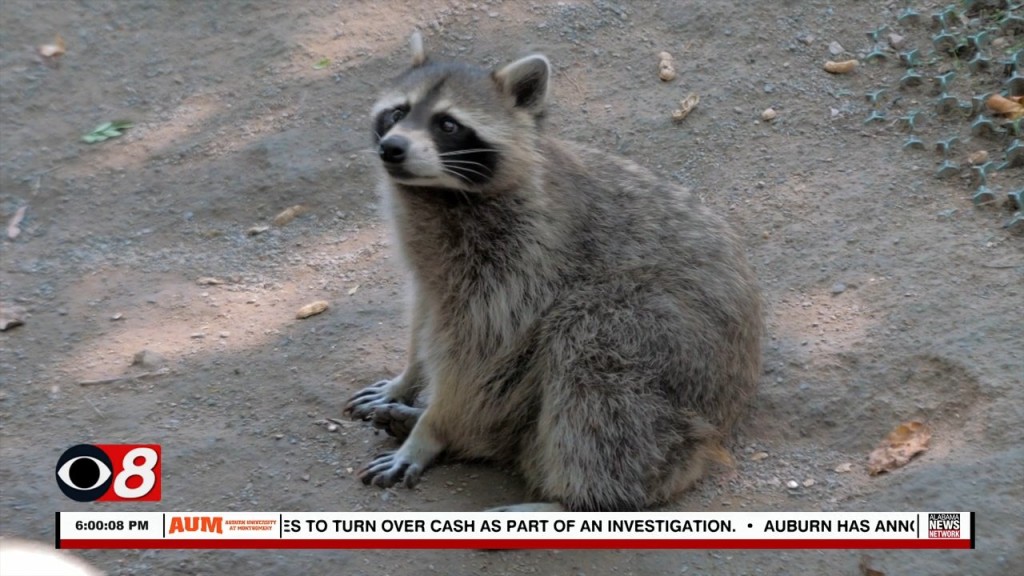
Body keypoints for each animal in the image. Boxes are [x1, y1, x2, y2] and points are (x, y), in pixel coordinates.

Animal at [344, 32, 763, 512]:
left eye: (447, 125)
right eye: (397, 112)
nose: (391, 148)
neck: (438, 194)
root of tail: (724, 421)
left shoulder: (520, 267)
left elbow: (479, 360)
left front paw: (431, 430)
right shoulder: (430, 263)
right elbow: (423, 313)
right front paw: (408, 377)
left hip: (671, 355)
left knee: (590, 355)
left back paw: (573, 498)